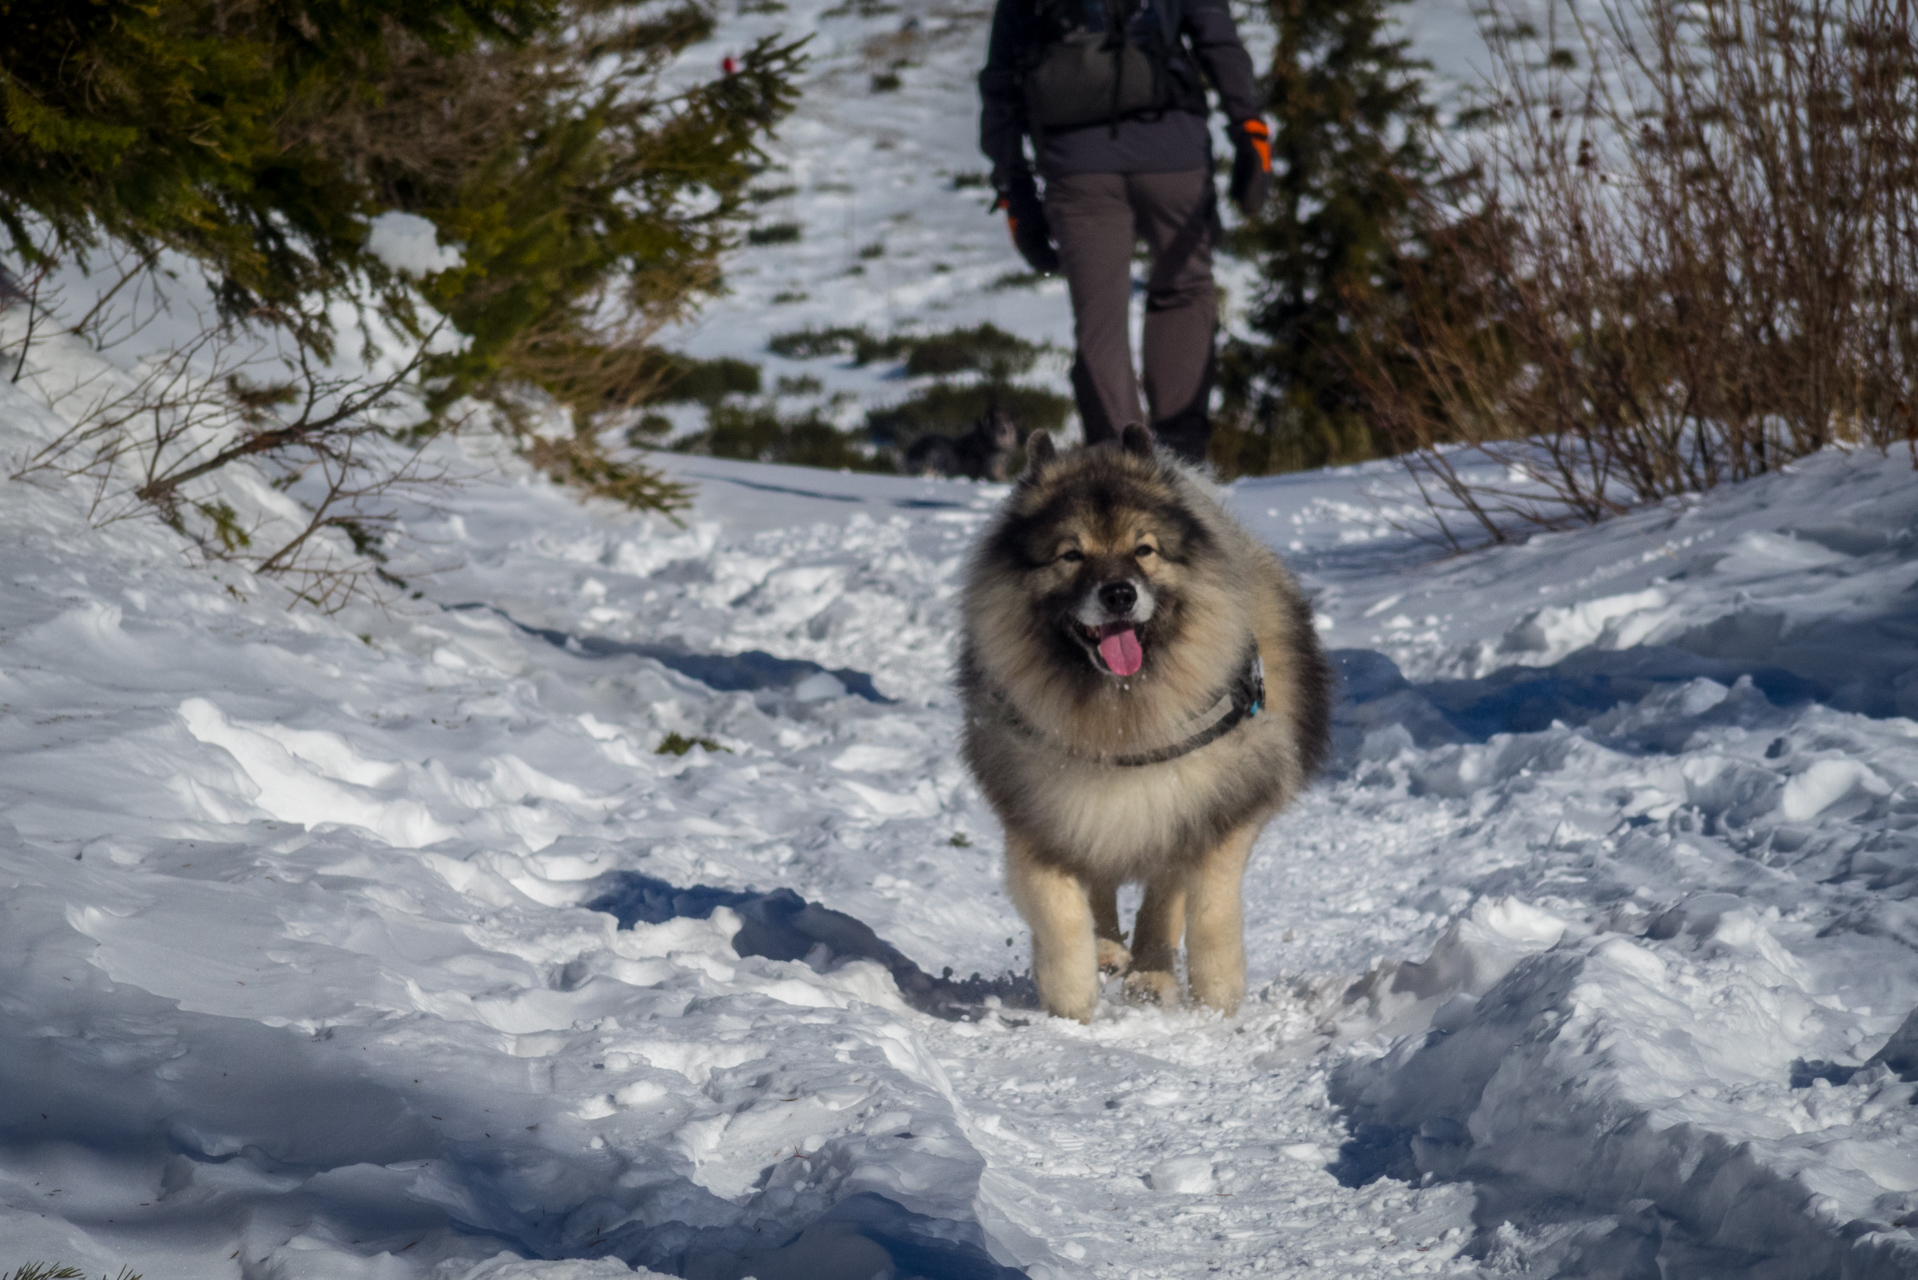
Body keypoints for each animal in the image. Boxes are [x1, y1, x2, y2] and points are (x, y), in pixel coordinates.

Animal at [959, 426, 1334, 1028]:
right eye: (1071, 554)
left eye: (1144, 549)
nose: (1119, 594)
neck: (1121, 716)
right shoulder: (1040, 814)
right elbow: (1060, 911)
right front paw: (1071, 996)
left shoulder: (1217, 806)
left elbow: (1207, 907)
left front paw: (1216, 996)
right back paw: (1109, 953)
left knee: (1165, 895)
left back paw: (1151, 977)